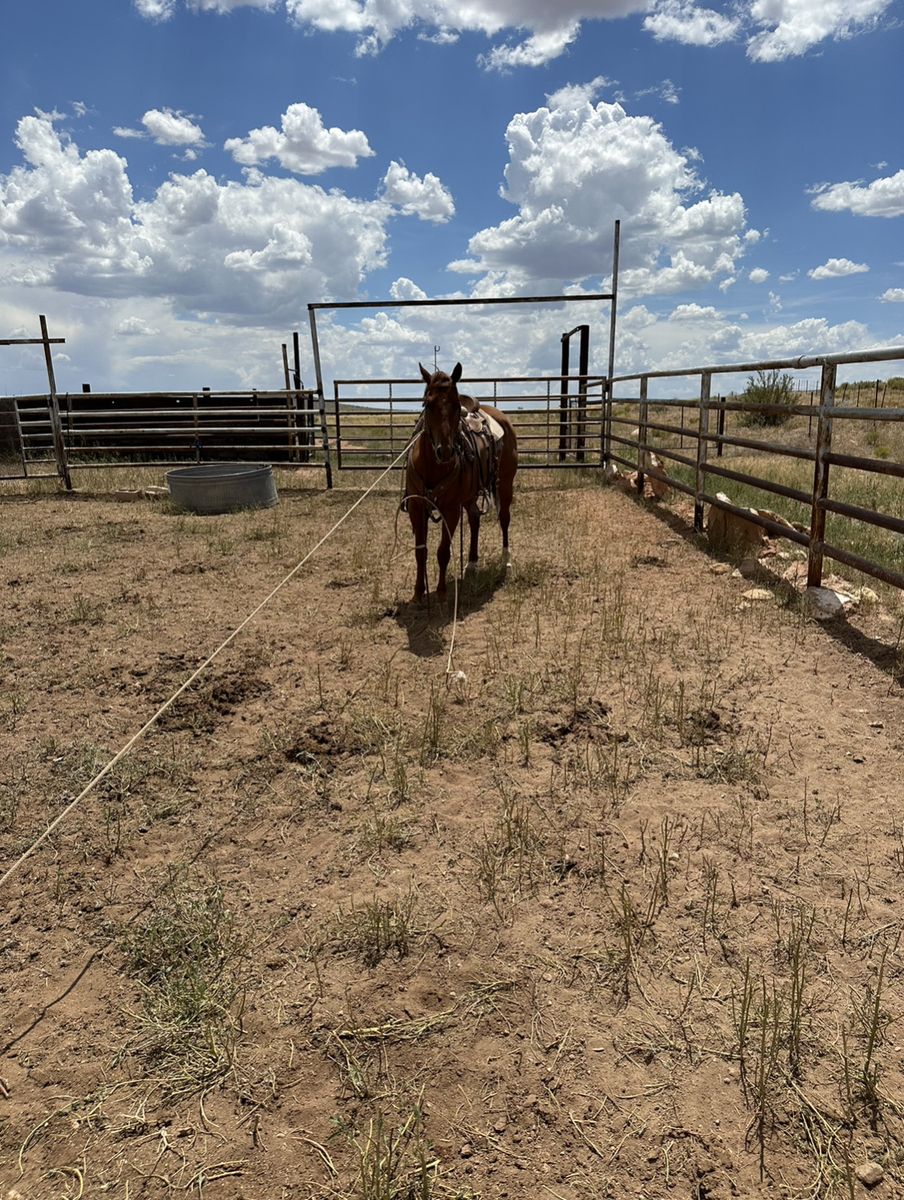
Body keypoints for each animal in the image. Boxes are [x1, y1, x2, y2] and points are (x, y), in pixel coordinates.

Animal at [405, 361, 518, 602]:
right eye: (428, 404)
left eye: (457, 405)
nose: (445, 451)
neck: (433, 466)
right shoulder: (417, 507)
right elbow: (420, 550)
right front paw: (419, 592)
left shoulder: (450, 509)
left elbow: (443, 551)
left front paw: (441, 592)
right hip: (469, 495)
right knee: (474, 519)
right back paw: (472, 563)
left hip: (505, 484)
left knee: (504, 518)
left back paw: (506, 560)